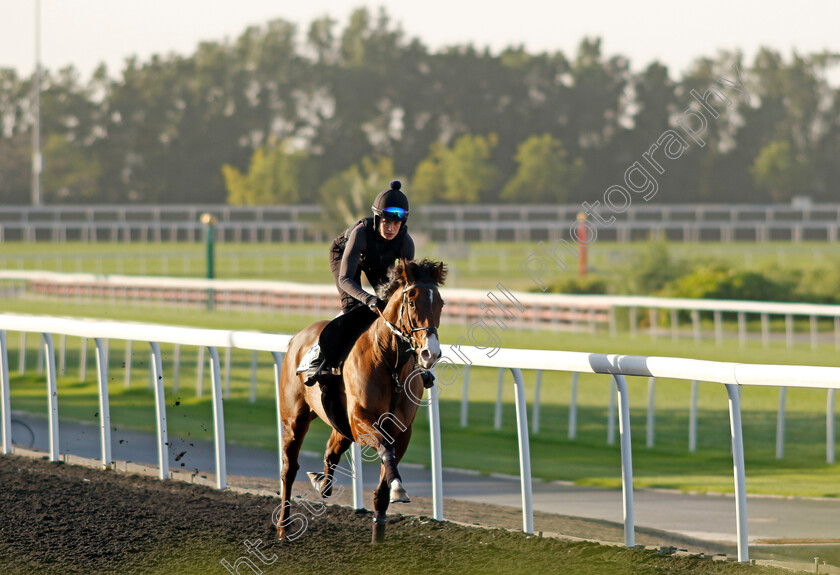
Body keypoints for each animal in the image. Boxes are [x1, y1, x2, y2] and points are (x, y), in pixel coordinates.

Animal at [274, 258, 446, 544]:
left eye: (441, 303)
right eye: (412, 302)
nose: (430, 353)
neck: (390, 362)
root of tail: (296, 338)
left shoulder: (401, 430)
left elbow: (383, 488)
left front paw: (379, 536)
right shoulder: (361, 421)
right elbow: (385, 451)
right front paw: (398, 488)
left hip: (339, 422)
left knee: (331, 451)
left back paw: (322, 483)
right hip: (294, 418)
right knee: (289, 468)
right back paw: (283, 528)